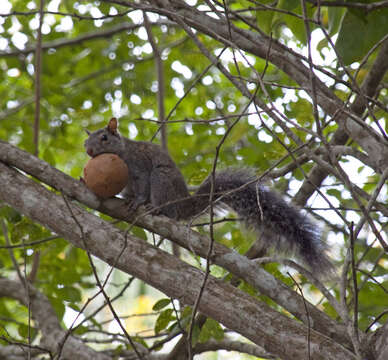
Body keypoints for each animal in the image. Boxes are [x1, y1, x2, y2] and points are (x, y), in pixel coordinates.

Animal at [85, 117, 334, 276]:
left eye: (105, 137)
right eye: (86, 141)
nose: (88, 151)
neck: (121, 153)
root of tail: (185, 204)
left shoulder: (141, 168)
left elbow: (143, 187)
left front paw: (137, 201)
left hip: (161, 180)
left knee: (169, 210)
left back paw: (155, 209)